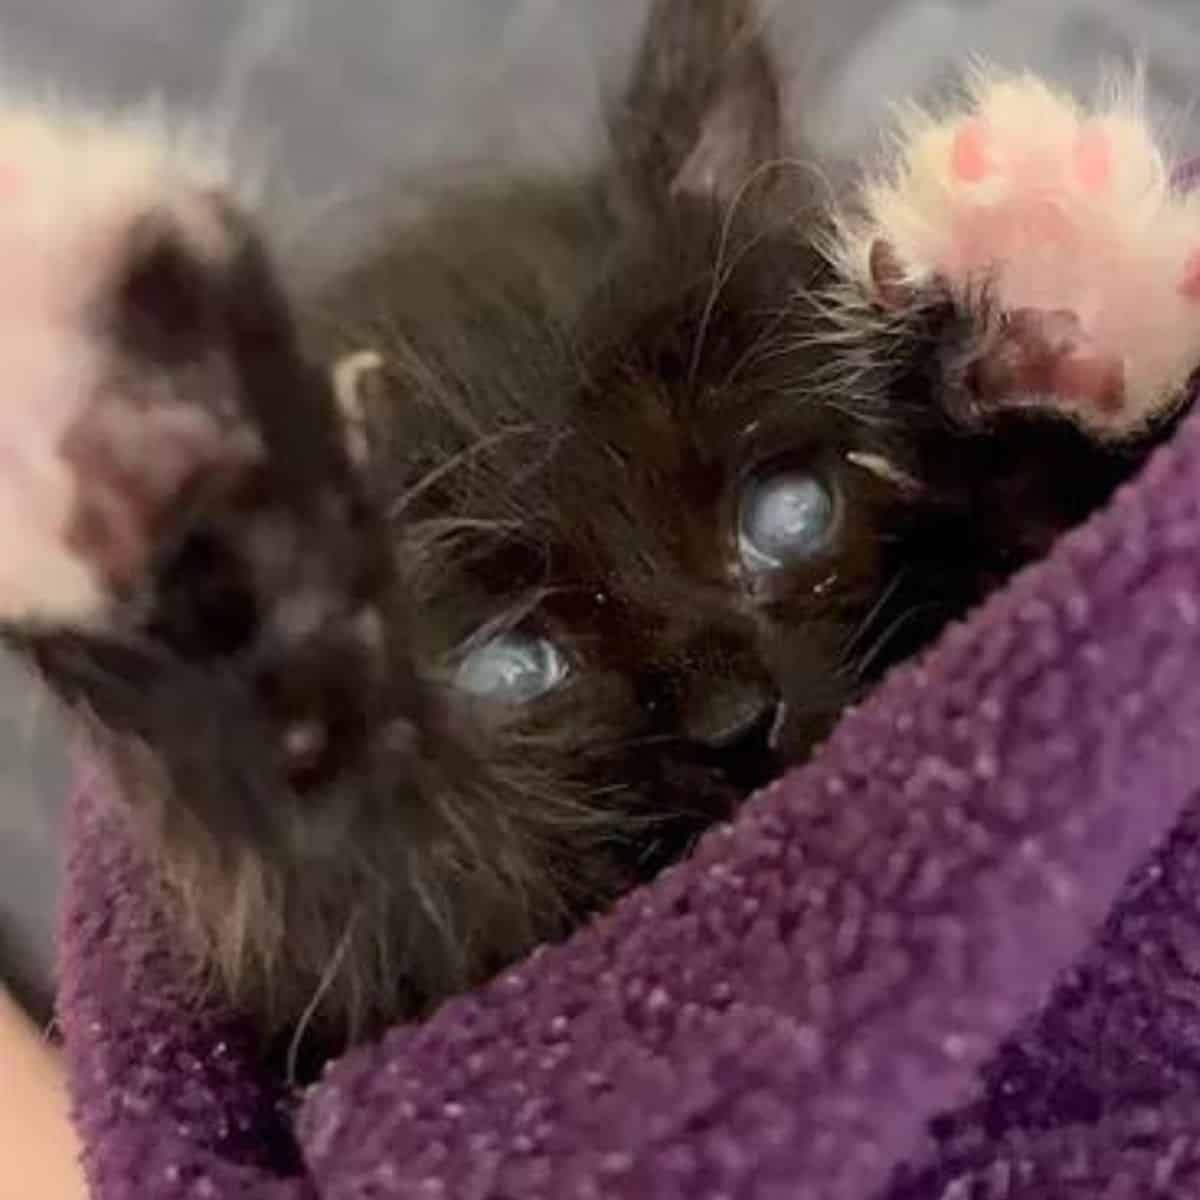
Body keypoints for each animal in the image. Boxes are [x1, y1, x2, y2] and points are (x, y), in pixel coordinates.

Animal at [0, 0, 1180, 1056]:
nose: (737, 718)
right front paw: (147, 437)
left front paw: (1059, 280)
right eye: (511, 667)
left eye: (787, 514)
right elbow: (361, 848)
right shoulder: (380, 978)